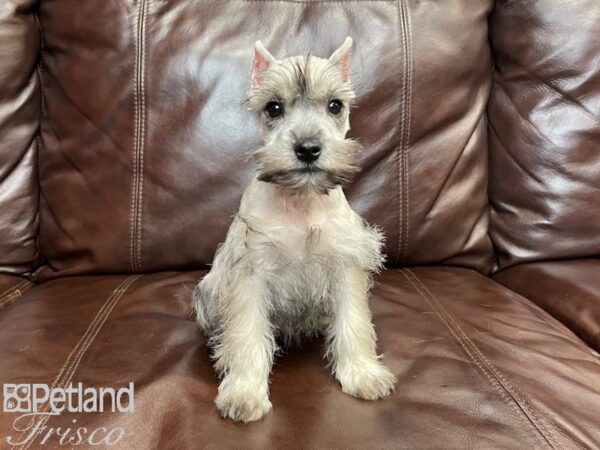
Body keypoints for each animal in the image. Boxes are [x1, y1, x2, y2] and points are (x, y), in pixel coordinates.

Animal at [195, 37, 396, 422]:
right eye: (273, 108)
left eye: (335, 105)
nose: (307, 148)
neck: (302, 202)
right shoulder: (250, 272)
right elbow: (246, 332)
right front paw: (244, 392)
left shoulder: (346, 263)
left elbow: (354, 323)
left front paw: (362, 373)